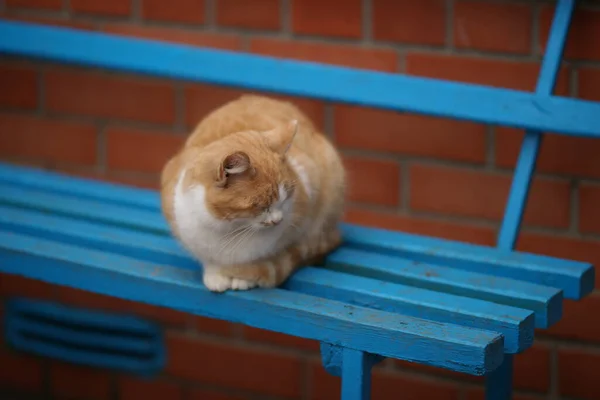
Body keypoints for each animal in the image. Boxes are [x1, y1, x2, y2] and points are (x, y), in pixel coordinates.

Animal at [161, 95, 346, 292]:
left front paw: (243, 278)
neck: (231, 229)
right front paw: (215, 275)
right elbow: (208, 259)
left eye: (286, 196)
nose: (278, 220)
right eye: (260, 205)